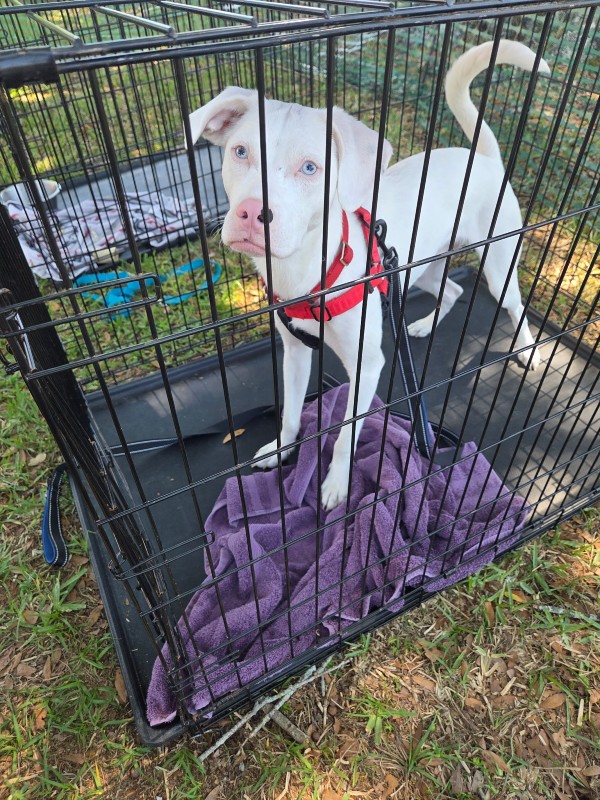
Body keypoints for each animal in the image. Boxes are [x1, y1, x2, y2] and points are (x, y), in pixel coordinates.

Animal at [188, 39, 549, 511]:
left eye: (310, 168)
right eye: (240, 152)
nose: (251, 213)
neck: (309, 271)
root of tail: (484, 158)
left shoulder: (367, 366)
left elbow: (345, 434)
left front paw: (337, 485)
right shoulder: (294, 353)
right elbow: (290, 413)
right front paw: (282, 450)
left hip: (498, 262)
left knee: (513, 303)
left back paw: (526, 350)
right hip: (417, 267)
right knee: (451, 289)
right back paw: (423, 325)